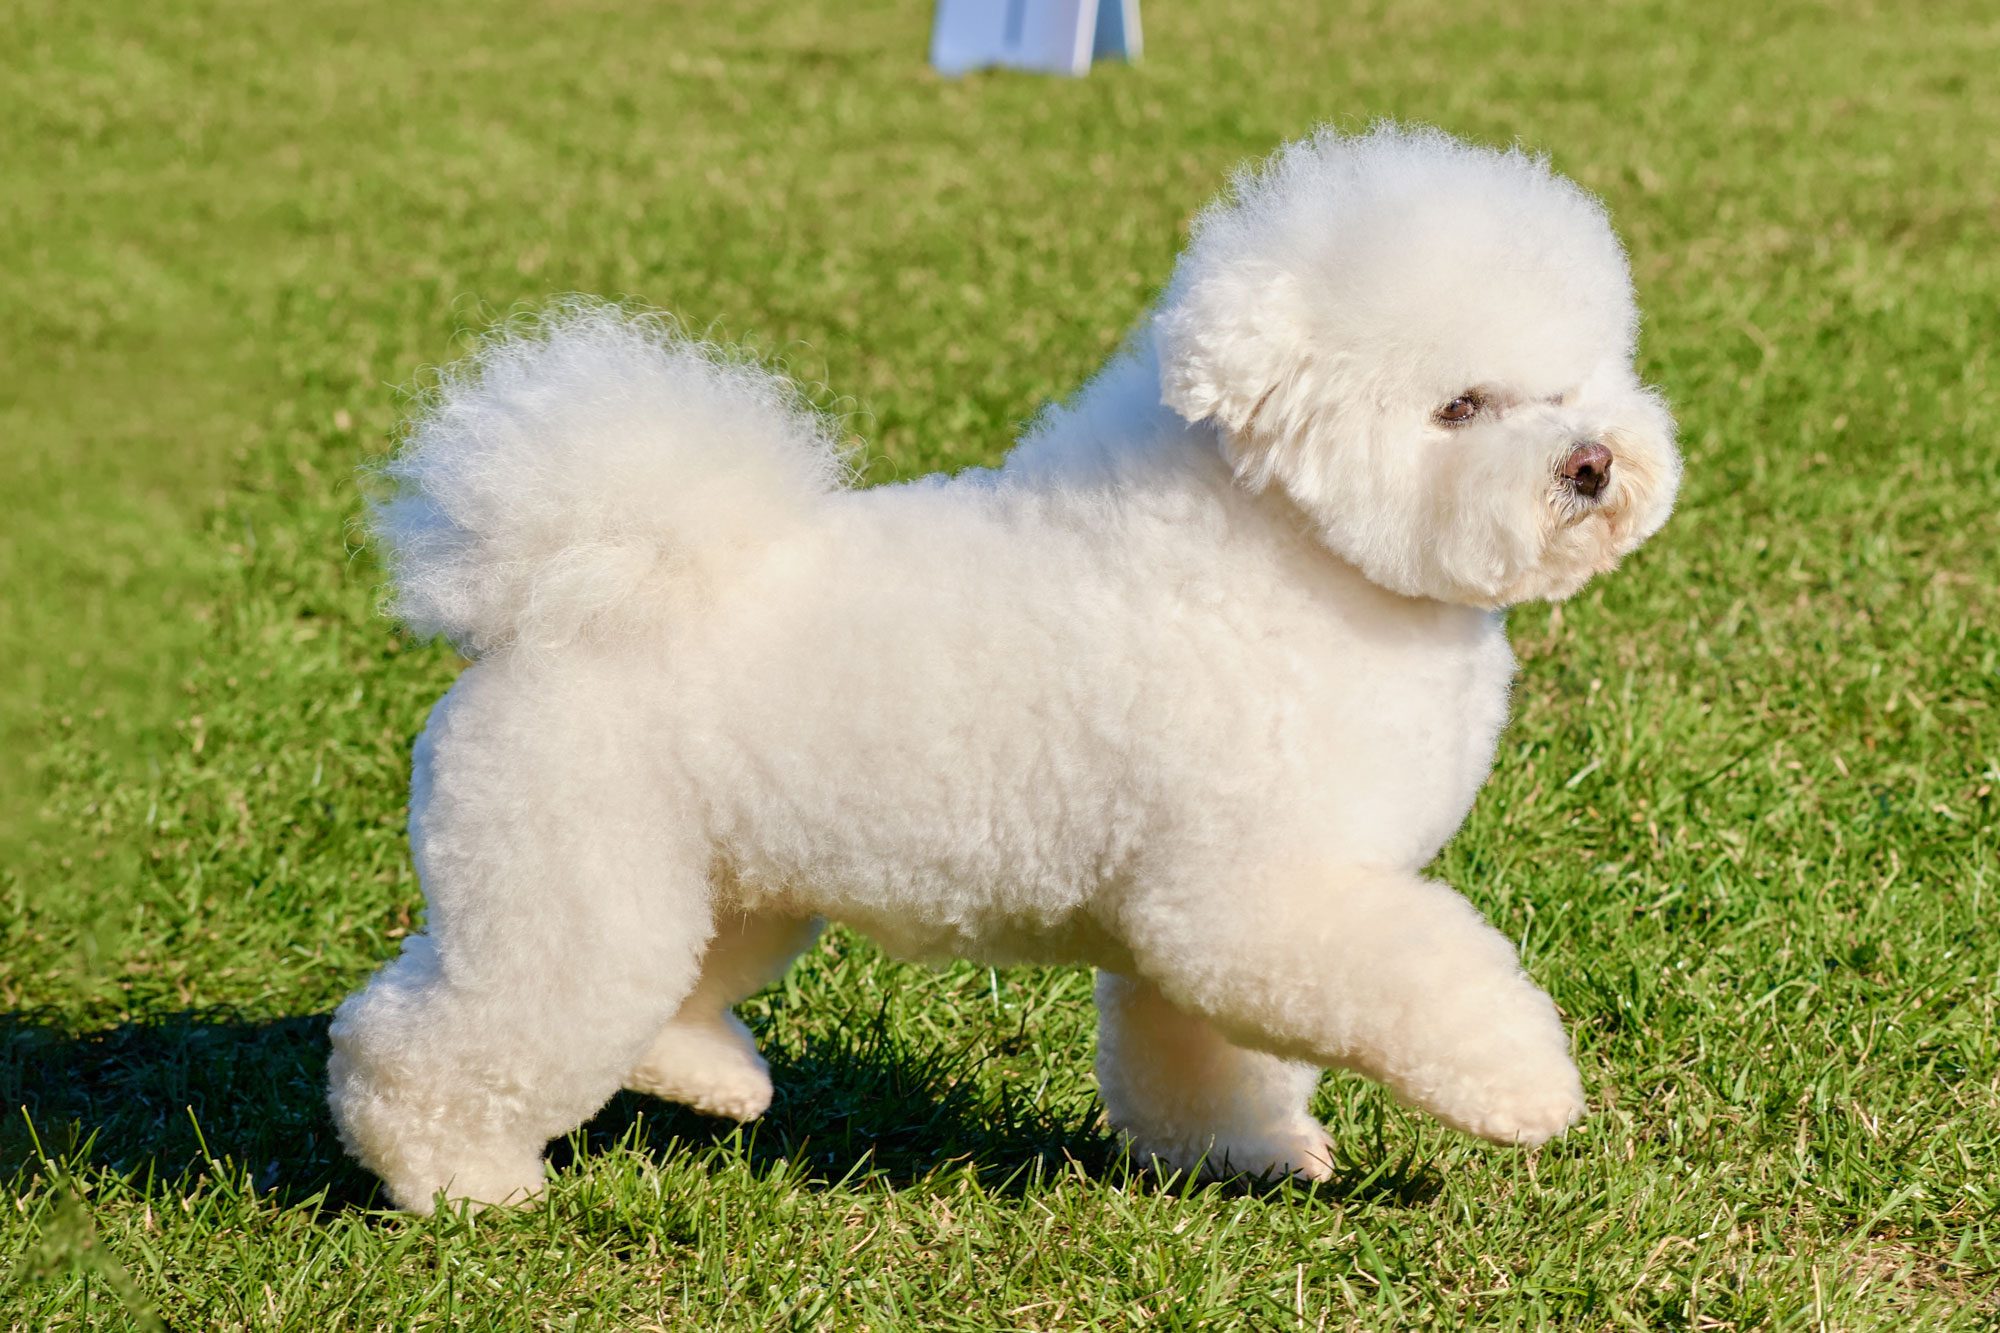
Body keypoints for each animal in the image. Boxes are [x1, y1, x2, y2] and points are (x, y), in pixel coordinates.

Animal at [336, 122, 1680, 1200]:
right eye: (1457, 406)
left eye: (1580, 379)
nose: (1592, 463)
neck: (1298, 552)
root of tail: (549, 606)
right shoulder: (1252, 898)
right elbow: (1424, 980)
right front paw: (1524, 1087)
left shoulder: (1190, 919)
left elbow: (1198, 1050)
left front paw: (1240, 1153)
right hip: (574, 893)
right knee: (423, 1043)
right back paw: (457, 1181)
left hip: (719, 886)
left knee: (668, 997)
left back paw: (715, 1081)